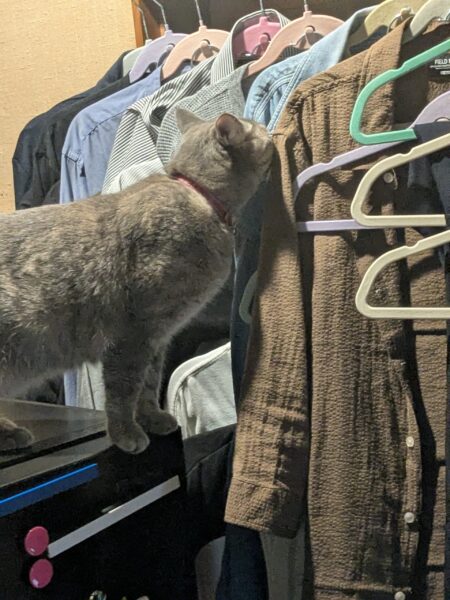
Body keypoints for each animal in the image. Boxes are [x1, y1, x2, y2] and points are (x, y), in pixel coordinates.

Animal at [0, 110, 273, 454]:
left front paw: (153, 418)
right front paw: (125, 432)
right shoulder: (132, 336)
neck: (199, 196)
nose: (271, 131)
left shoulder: (157, 338)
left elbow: (149, 384)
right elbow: (123, 390)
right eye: (260, 131)